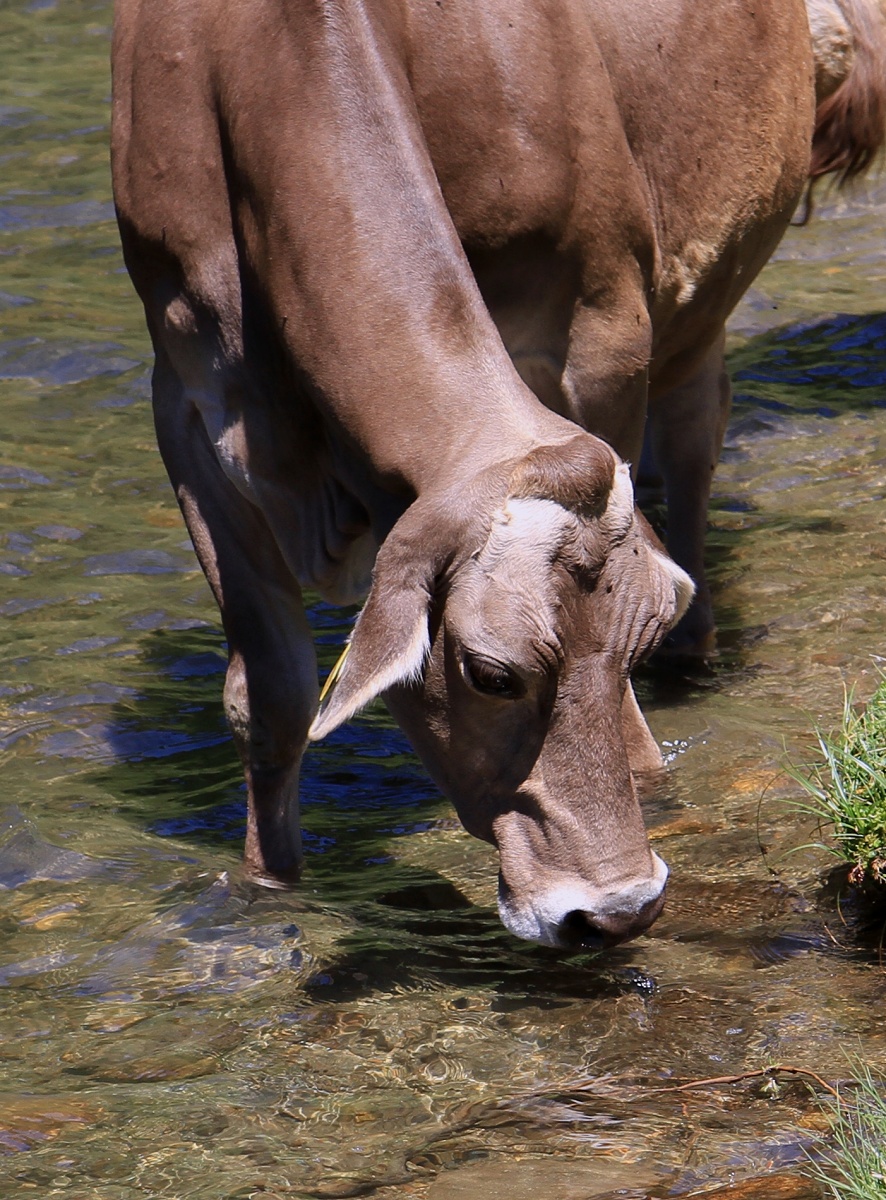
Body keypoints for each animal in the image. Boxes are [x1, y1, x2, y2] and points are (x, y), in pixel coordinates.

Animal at [110, 2, 883, 955]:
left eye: (637, 639)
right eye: (490, 674)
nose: (619, 910)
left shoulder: (601, 330)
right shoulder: (187, 402)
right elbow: (273, 695)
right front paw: (268, 887)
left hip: (699, 305)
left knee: (694, 448)